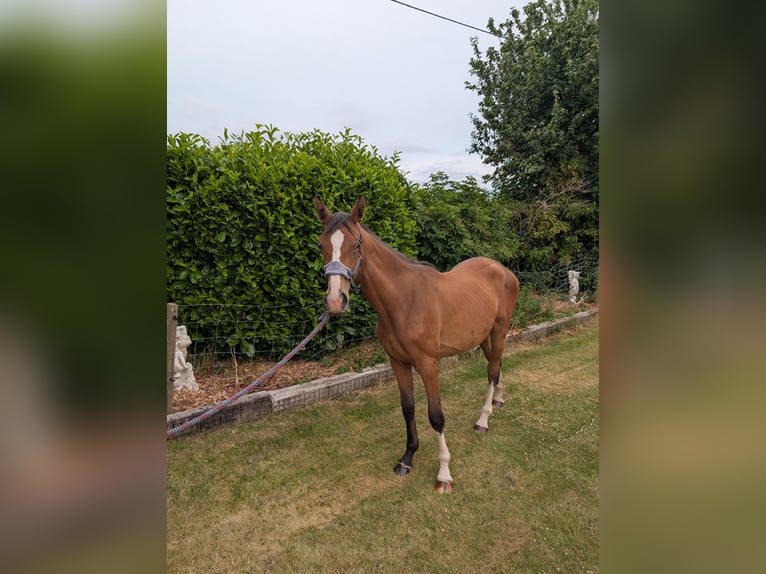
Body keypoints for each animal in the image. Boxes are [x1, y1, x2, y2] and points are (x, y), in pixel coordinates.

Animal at [314, 196, 520, 493]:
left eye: (355, 245)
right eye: (322, 245)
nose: (334, 301)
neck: (403, 300)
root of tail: (502, 270)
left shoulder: (427, 364)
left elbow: (436, 416)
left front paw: (444, 474)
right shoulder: (398, 363)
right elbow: (408, 408)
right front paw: (407, 459)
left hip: (500, 331)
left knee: (492, 371)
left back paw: (483, 419)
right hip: (482, 337)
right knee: (496, 364)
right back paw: (499, 400)